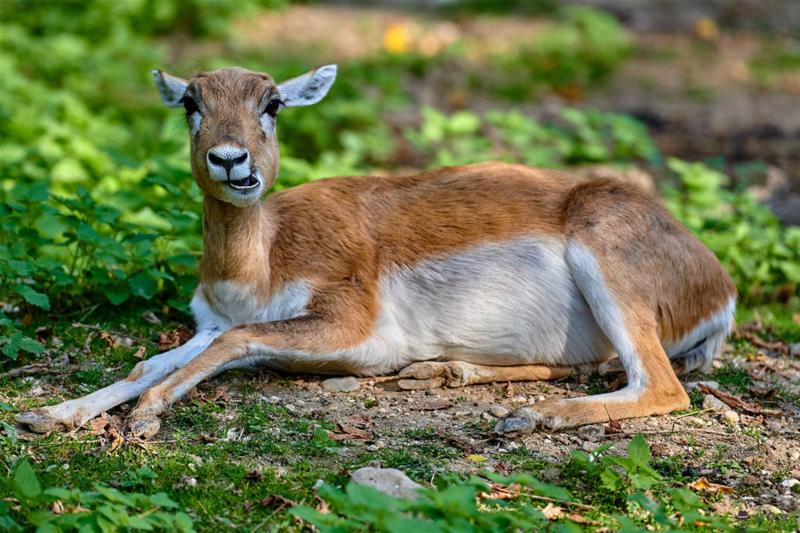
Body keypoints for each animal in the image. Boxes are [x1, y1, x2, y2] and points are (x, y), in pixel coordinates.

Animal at [15, 64, 736, 436]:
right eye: (192, 100)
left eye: (273, 102)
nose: (230, 160)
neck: (258, 263)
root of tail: (720, 285)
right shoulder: (210, 323)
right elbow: (151, 360)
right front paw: (47, 414)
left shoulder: (350, 323)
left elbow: (236, 343)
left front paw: (145, 418)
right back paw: (449, 376)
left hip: (606, 265)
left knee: (663, 386)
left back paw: (529, 418)